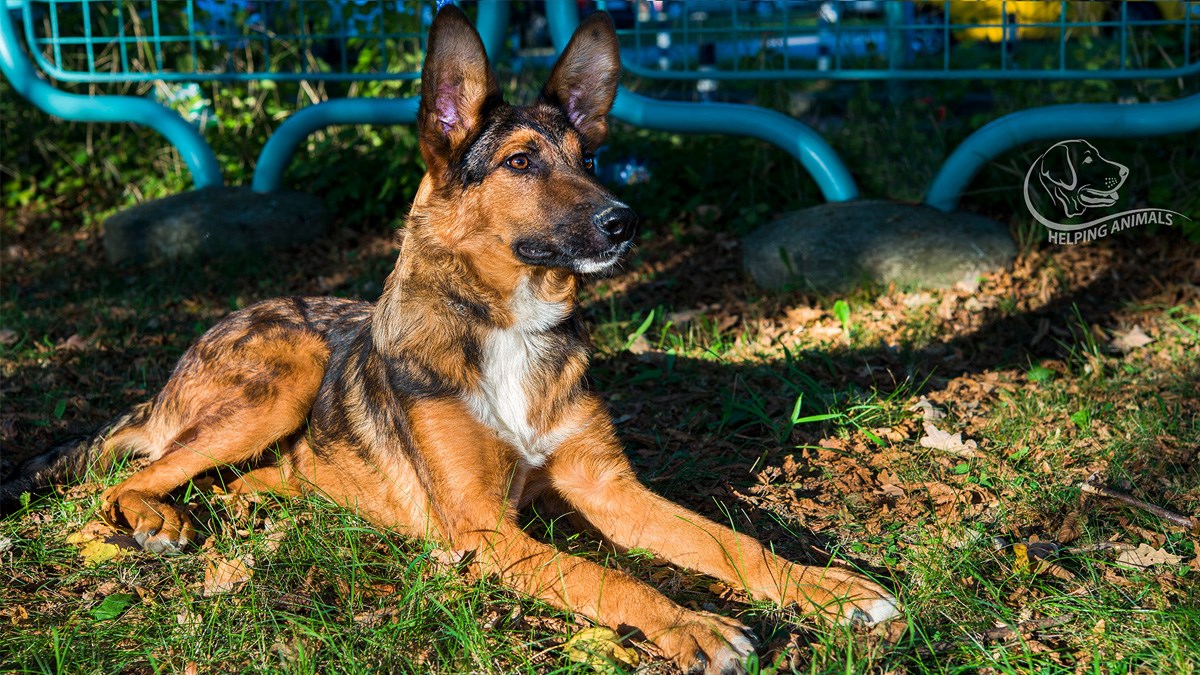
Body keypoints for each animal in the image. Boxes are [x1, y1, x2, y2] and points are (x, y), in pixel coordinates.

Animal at [0, 7, 897, 667]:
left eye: (590, 156)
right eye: (523, 162)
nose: (625, 221)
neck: (506, 327)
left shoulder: (611, 487)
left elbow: (728, 539)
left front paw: (827, 587)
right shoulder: (483, 529)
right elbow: (603, 577)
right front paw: (692, 624)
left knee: (231, 477)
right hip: (281, 376)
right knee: (132, 475)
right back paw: (157, 520)